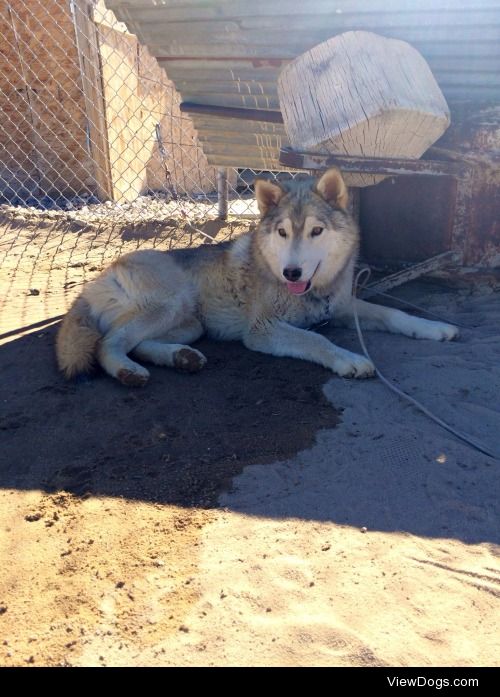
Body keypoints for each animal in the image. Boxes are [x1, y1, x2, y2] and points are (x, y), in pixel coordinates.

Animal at [56, 169, 458, 386]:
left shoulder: (342, 306)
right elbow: (317, 341)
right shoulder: (262, 329)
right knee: (108, 342)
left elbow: (395, 314)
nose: (291, 271)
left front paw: (435, 328)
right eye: (282, 232)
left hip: (190, 324)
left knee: (136, 342)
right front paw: (350, 359)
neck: (310, 293)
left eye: (315, 231)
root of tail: (96, 280)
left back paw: (181, 358)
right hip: (172, 305)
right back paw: (129, 372)